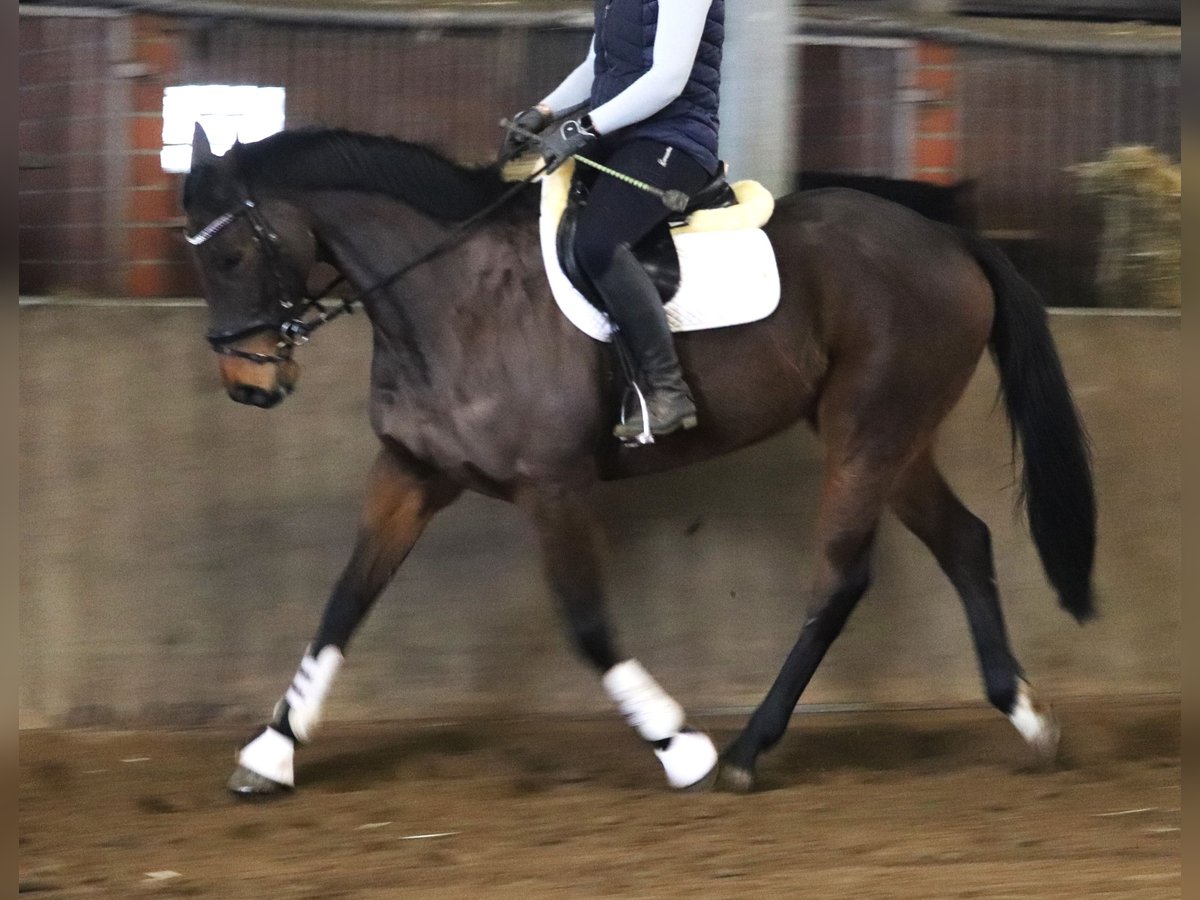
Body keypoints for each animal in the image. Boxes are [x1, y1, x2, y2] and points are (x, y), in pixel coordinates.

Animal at [180, 123, 1099, 792]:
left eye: (229, 254)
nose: (246, 384)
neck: (453, 298)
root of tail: (950, 240)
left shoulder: (554, 486)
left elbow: (587, 625)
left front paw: (678, 744)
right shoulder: (410, 474)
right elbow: (344, 602)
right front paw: (270, 753)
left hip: (867, 429)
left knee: (842, 579)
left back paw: (744, 753)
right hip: (896, 438)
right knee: (965, 542)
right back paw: (1029, 718)